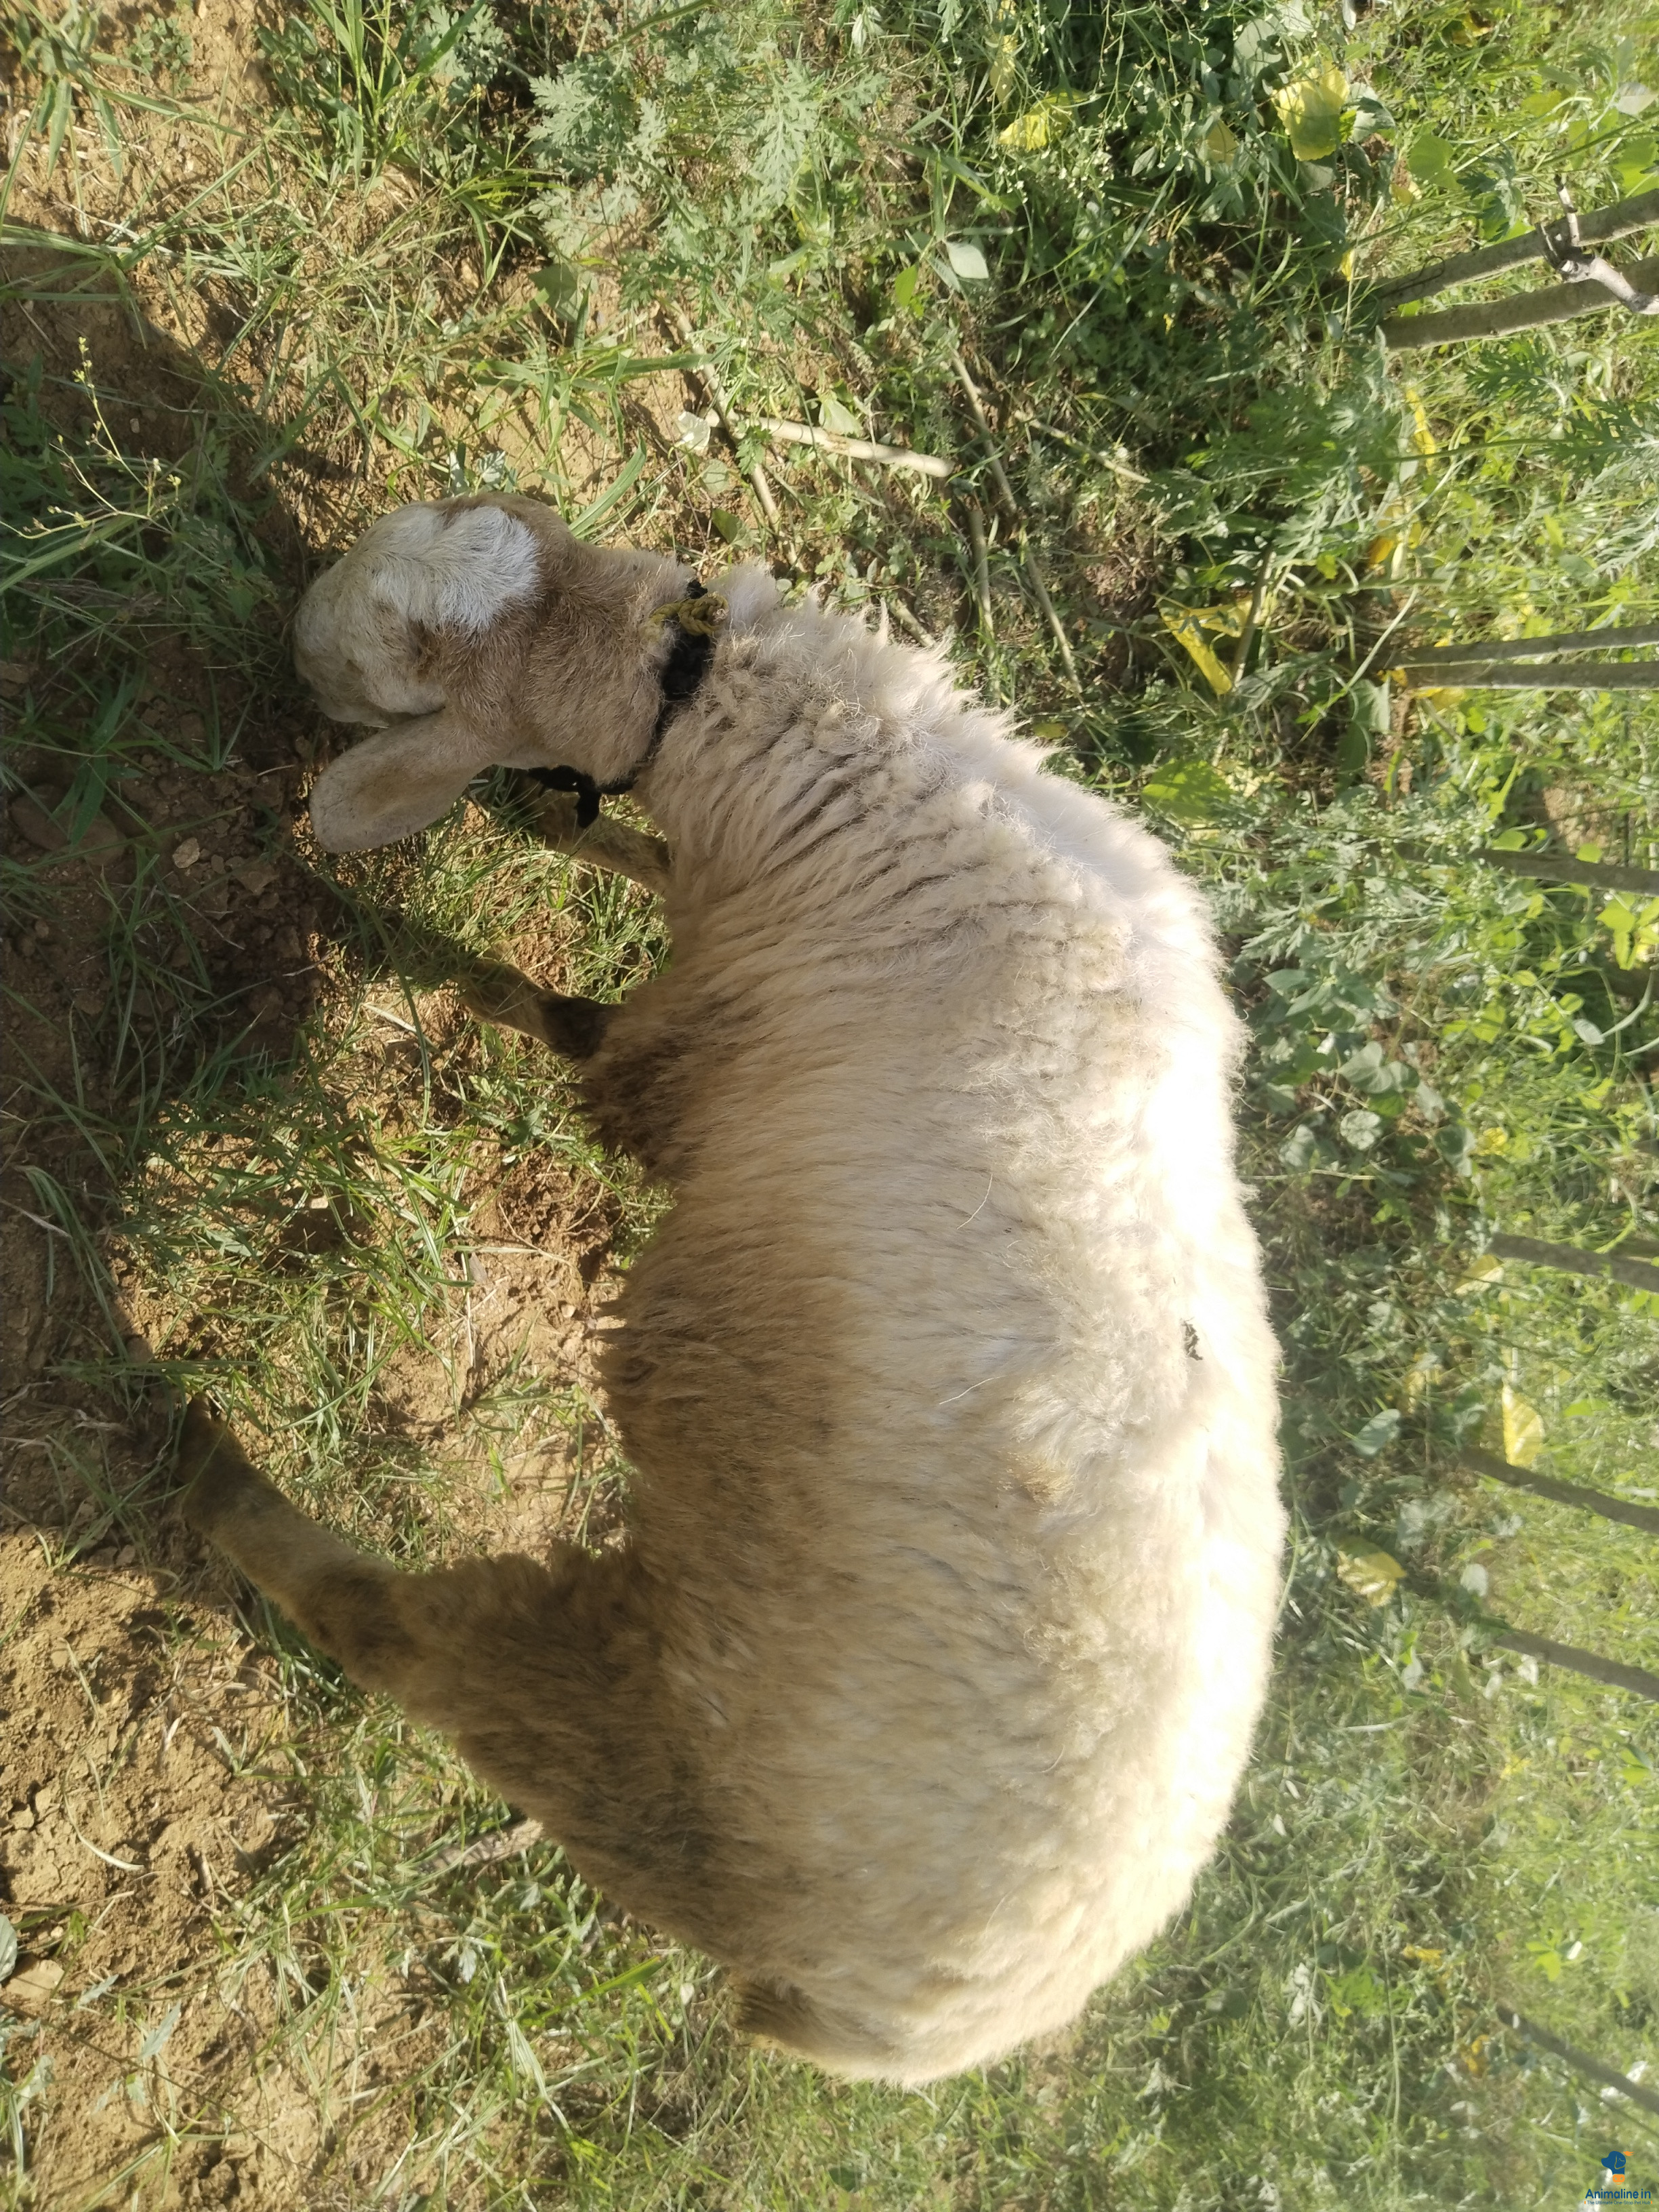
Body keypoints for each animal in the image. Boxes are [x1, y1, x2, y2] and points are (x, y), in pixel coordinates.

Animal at [180, 491, 1285, 2086]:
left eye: (394, 681)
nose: (285, 637)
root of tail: (924, 2030)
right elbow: (634, 862)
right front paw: (560, 831)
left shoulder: (695, 1045)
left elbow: (570, 1032)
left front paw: (429, 957)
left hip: (676, 1754)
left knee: (431, 1652)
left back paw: (223, 1491)